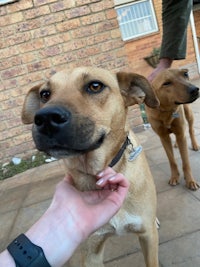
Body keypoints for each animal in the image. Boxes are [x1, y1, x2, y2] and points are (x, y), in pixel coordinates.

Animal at [21, 67, 159, 267]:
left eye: (95, 86)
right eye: (45, 94)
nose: (45, 118)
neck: (98, 169)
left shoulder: (148, 237)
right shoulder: (91, 251)